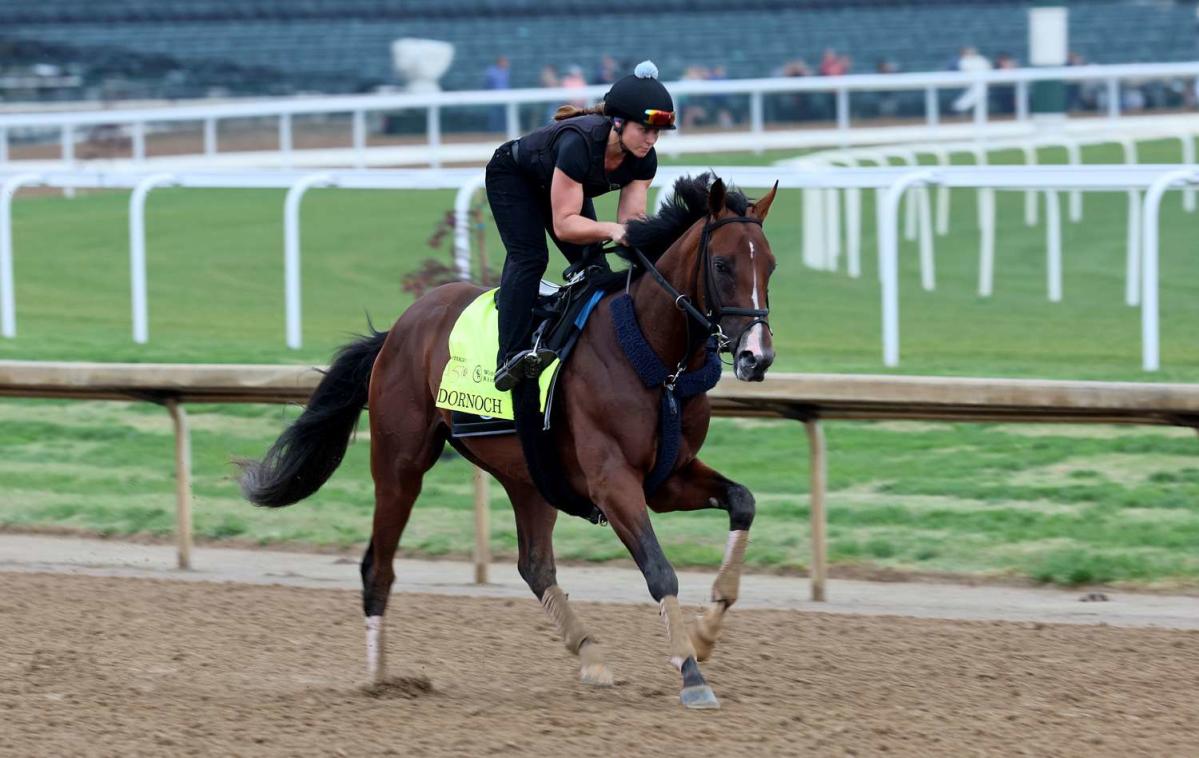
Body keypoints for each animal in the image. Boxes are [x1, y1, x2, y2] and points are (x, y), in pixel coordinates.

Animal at [239, 172, 781, 710]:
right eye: (722, 263)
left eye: (771, 265)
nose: (757, 357)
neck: (654, 356)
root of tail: (399, 329)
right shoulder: (613, 481)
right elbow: (659, 569)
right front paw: (690, 671)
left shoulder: (666, 477)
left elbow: (743, 501)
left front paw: (706, 633)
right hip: (399, 464)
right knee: (379, 565)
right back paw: (379, 679)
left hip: (529, 474)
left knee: (535, 565)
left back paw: (590, 655)